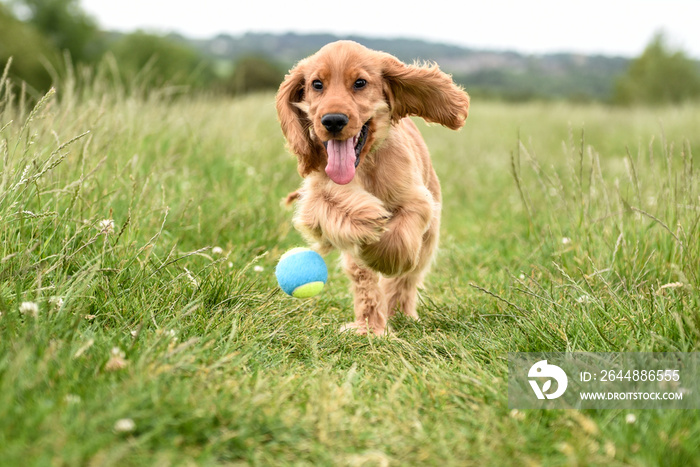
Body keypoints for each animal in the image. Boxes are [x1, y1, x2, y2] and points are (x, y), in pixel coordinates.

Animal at [274, 38, 470, 334]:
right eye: (317, 84)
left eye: (360, 83)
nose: (333, 121)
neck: (365, 164)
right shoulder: (317, 195)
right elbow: (335, 204)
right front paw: (366, 219)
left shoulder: (417, 199)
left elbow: (399, 238)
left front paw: (382, 255)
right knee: (365, 283)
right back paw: (369, 326)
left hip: (428, 240)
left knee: (406, 280)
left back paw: (399, 314)